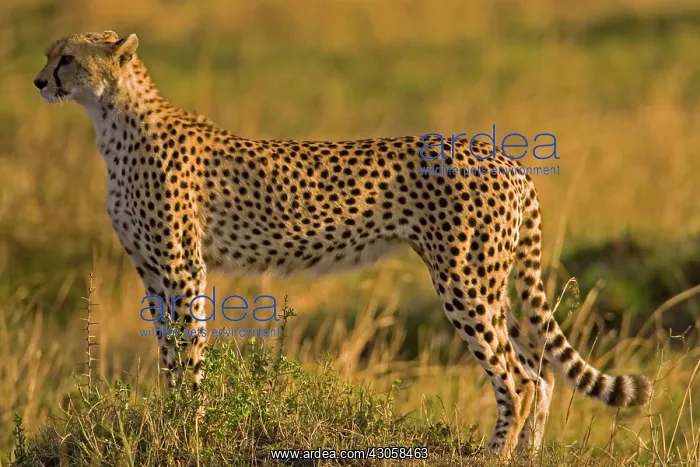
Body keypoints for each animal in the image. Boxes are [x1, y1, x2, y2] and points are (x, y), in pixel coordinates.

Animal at [33, 30, 652, 458]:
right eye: (48, 54)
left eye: (67, 58)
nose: (39, 82)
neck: (113, 118)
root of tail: (505, 156)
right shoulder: (154, 273)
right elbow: (167, 354)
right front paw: (168, 424)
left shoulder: (184, 269)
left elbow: (189, 354)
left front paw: (190, 431)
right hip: (491, 282)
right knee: (540, 376)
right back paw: (525, 456)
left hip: (465, 281)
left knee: (519, 379)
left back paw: (494, 455)